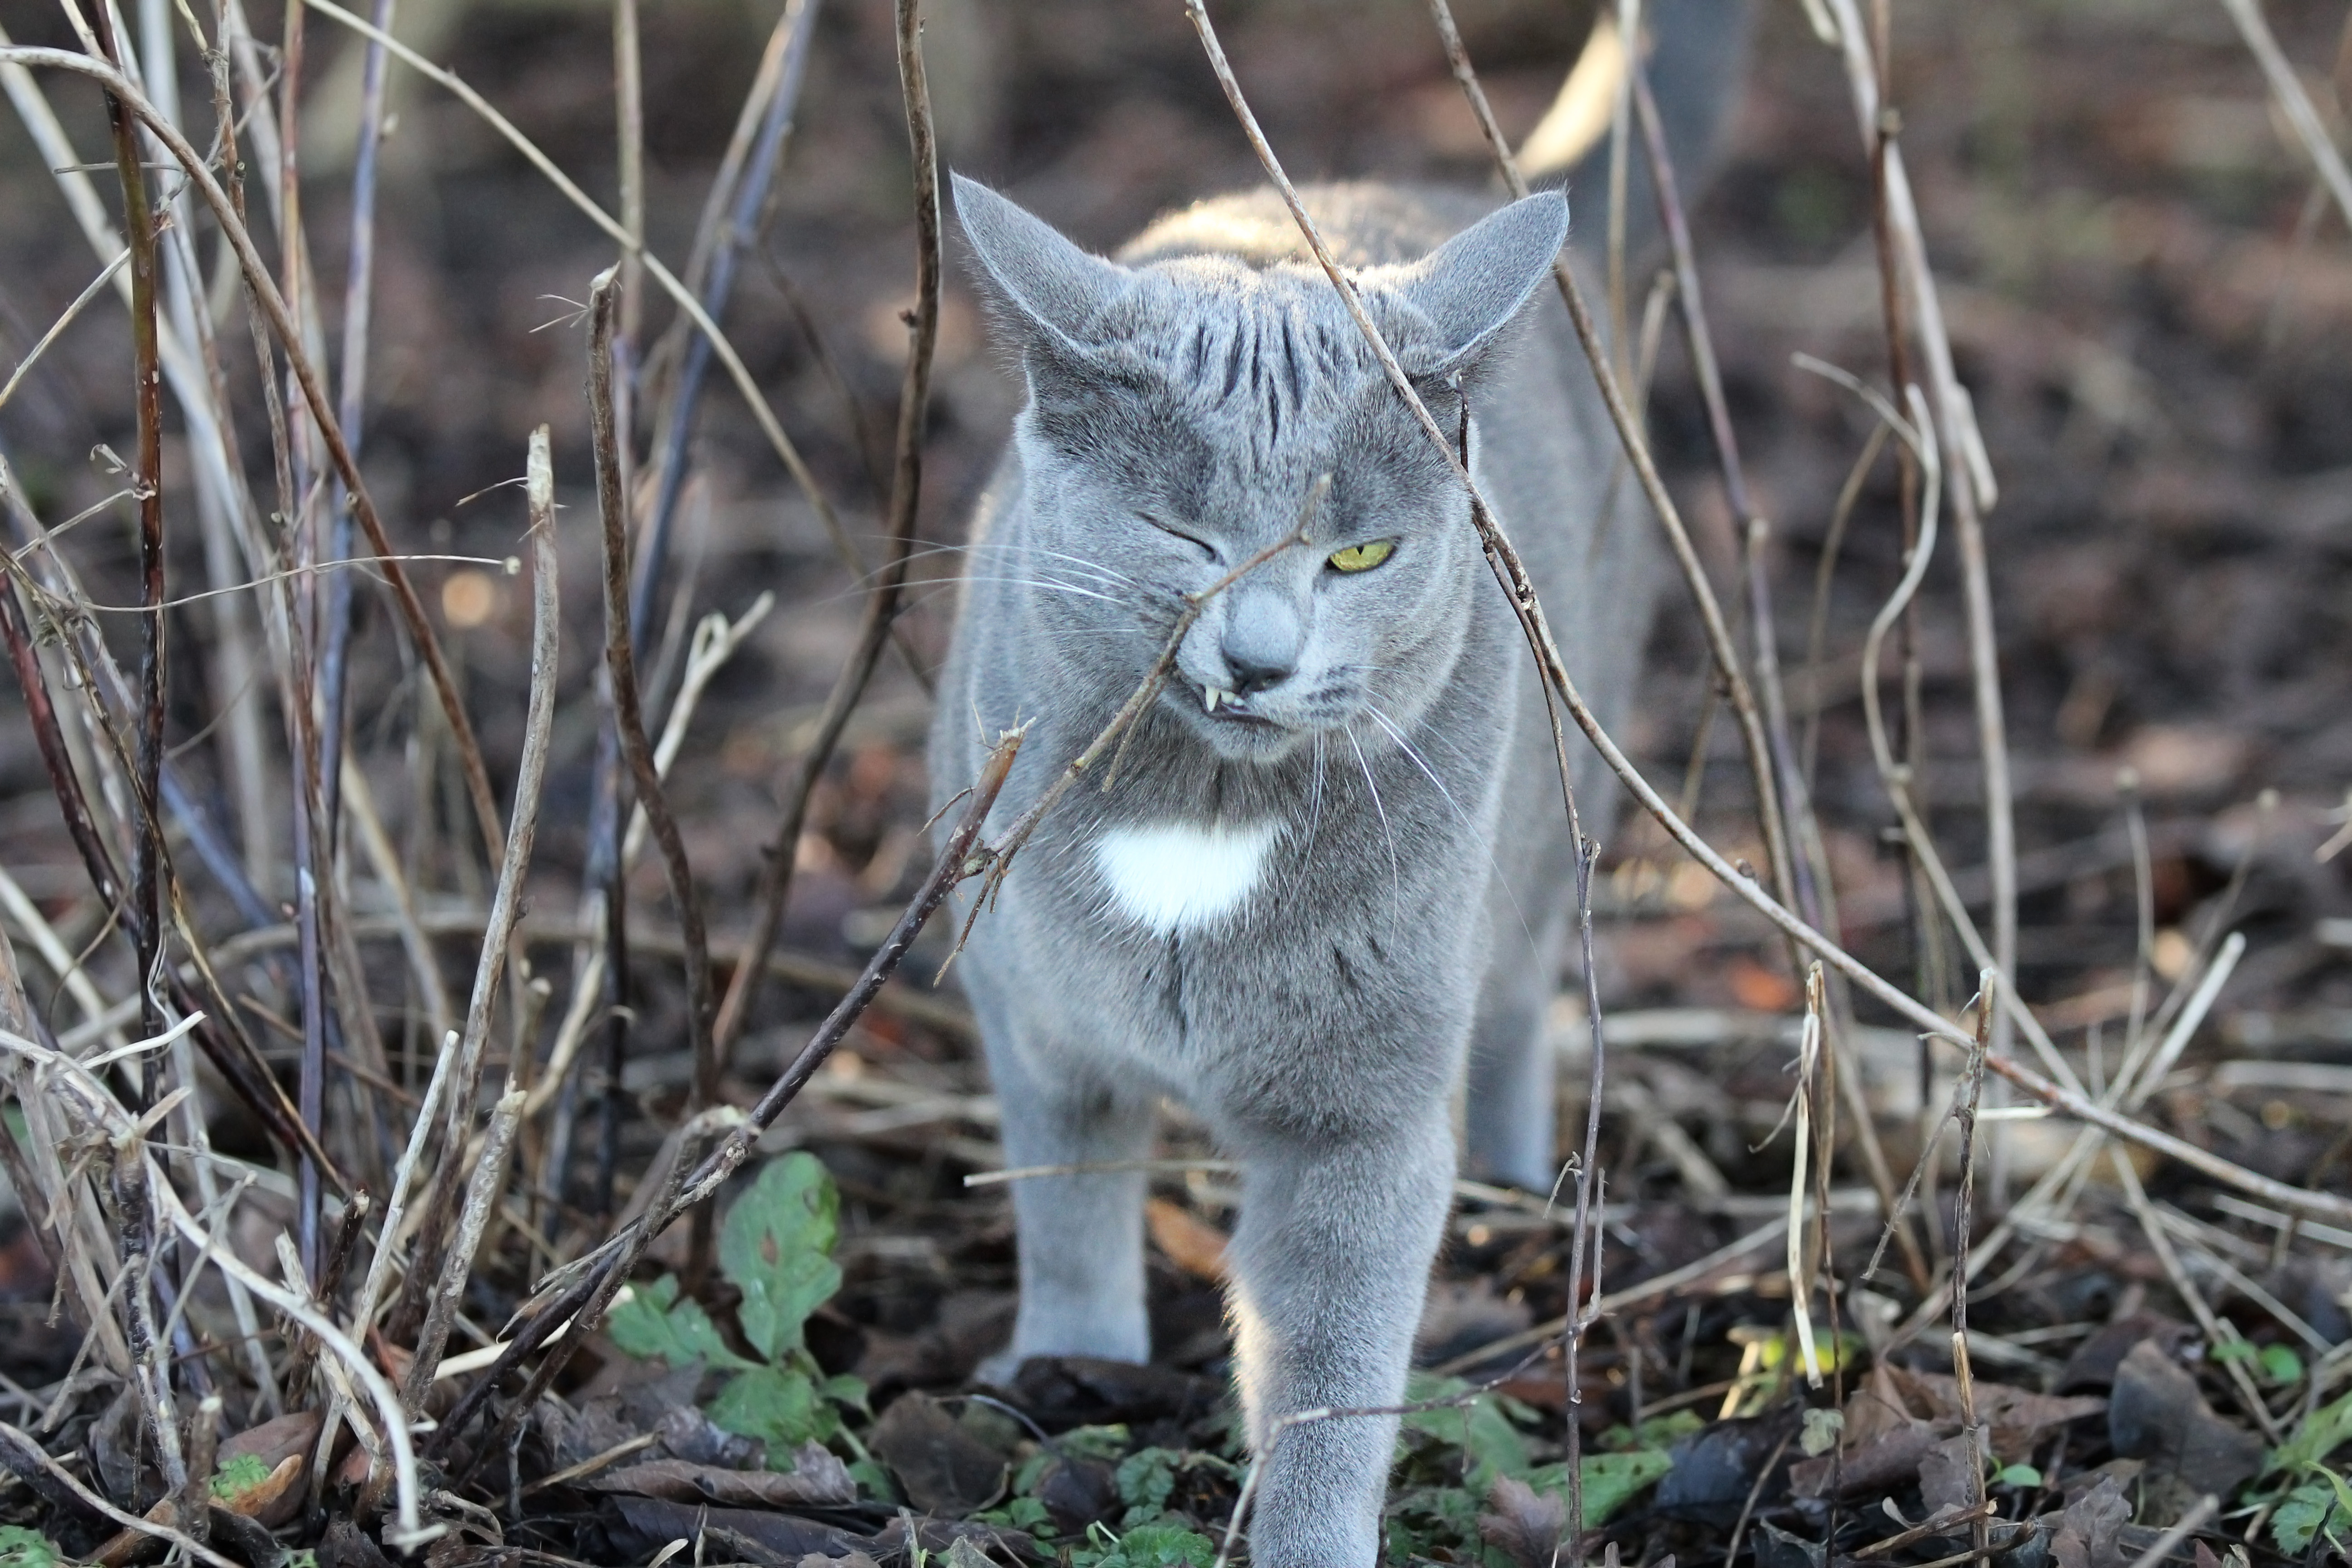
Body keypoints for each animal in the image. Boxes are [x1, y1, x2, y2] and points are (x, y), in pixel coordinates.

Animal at [926, 9, 1740, 1561]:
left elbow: (1327, 1365)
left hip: (1542, 844)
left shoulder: (1361, 1123)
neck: (1200, 820)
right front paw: (1069, 1368)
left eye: (1357, 556)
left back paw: (1514, 1184)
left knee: (1516, 1007)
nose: (1258, 656)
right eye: (1184, 535)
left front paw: (1306, 1531)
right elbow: (1067, 1206)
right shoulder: (1034, 1024)